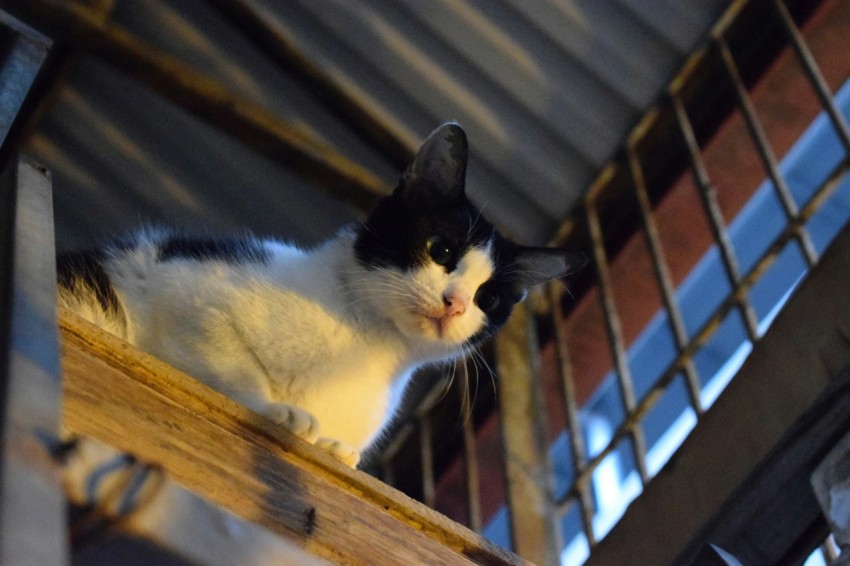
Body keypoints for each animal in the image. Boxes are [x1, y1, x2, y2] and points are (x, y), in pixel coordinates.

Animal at [58, 124, 584, 470]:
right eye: (442, 249)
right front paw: (275, 409)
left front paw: (333, 446)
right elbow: (226, 357)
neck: (366, 343)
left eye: (488, 299)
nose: (455, 302)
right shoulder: (185, 294)